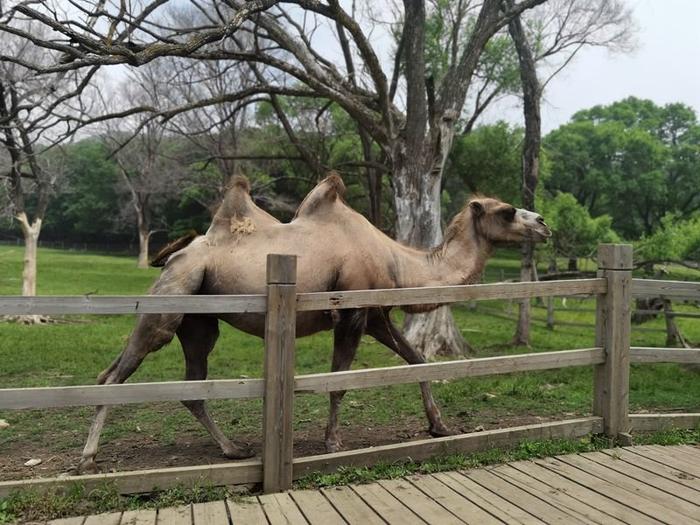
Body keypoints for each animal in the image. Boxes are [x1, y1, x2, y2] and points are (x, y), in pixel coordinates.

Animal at [78, 172, 552, 470]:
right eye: (508, 210)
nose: (544, 223)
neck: (396, 261)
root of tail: (175, 255)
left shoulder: (376, 315)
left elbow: (417, 360)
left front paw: (439, 426)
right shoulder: (353, 313)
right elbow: (339, 381)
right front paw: (333, 442)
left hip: (200, 321)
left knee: (189, 384)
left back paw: (234, 449)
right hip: (173, 300)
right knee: (116, 373)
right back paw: (87, 457)